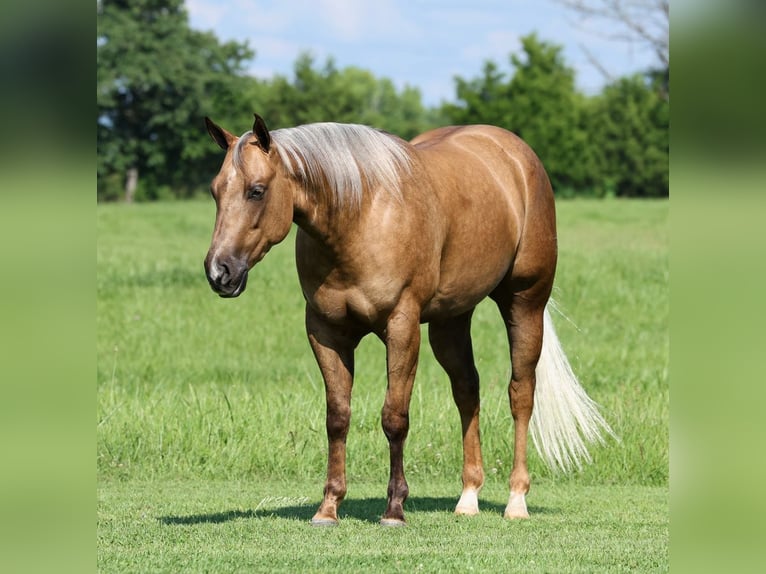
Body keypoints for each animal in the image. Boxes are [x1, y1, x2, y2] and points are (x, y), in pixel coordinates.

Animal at [203, 114, 614, 526]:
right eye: (215, 191)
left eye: (257, 191)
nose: (219, 272)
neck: (359, 216)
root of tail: (516, 154)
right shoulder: (325, 332)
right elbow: (337, 416)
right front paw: (328, 507)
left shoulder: (401, 326)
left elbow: (394, 417)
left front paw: (394, 509)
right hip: (451, 320)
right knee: (467, 391)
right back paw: (468, 497)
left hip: (524, 302)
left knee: (521, 394)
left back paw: (516, 500)